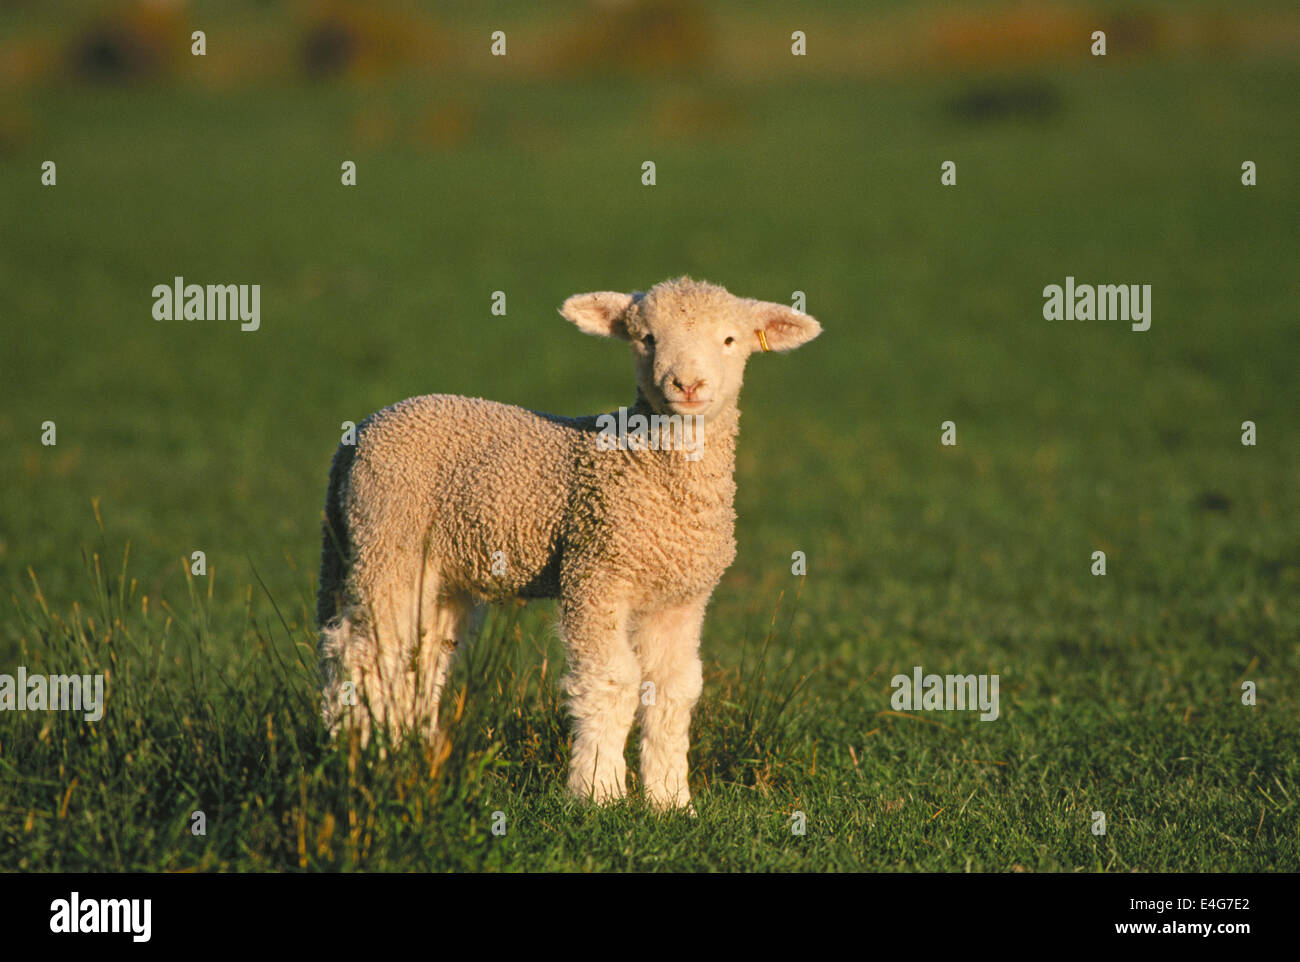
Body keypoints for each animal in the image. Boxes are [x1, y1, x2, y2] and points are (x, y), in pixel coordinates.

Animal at [315, 274, 816, 806]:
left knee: (422, 659)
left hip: (436, 568)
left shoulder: (681, 598)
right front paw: (599, 792)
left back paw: (408, 752)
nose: (687, 384)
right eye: (647, 339)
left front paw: (670, 801)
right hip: (387, 541)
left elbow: (673, 690)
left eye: (729, 340)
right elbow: (612, 680)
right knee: (365, 653)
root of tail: (360, 433)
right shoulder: (595, 572)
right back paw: (360, 753)